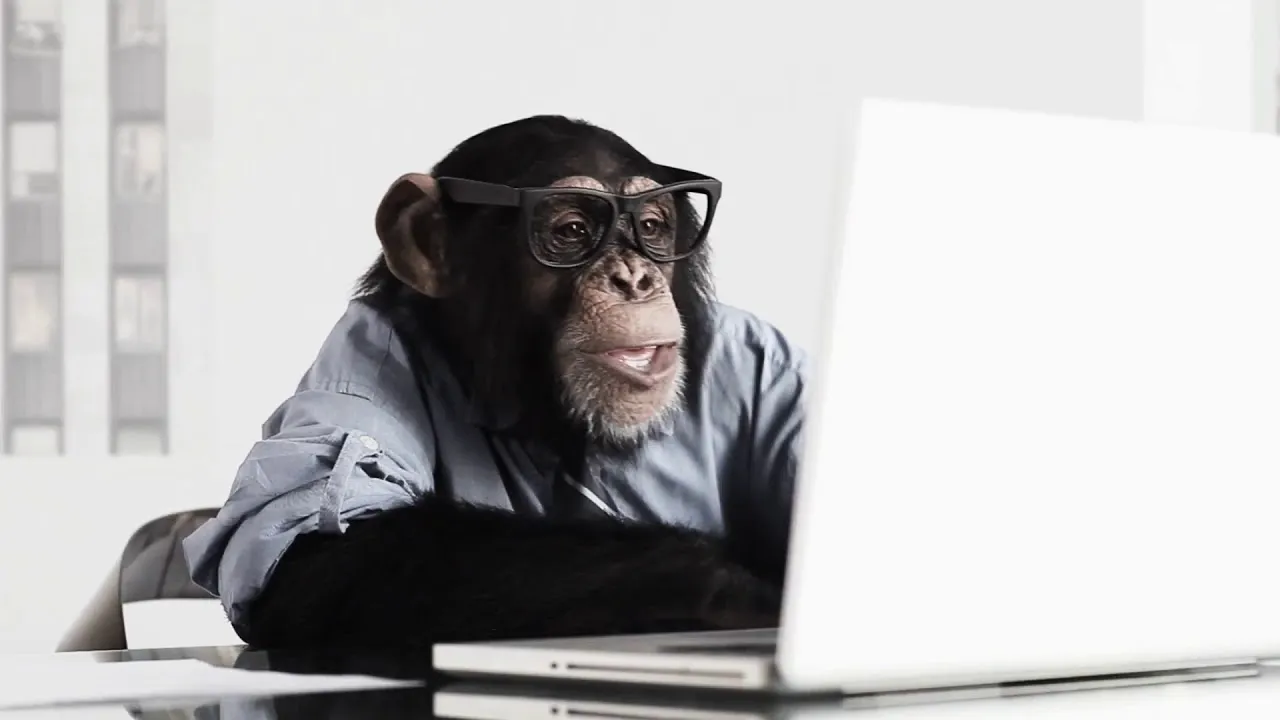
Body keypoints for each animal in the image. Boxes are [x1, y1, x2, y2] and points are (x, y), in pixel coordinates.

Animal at [182, 115, 808, 650]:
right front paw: (745, 592)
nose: (635, 277)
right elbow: (326, 545)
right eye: (573, 229)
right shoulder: (360, 359)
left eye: (652, 227)